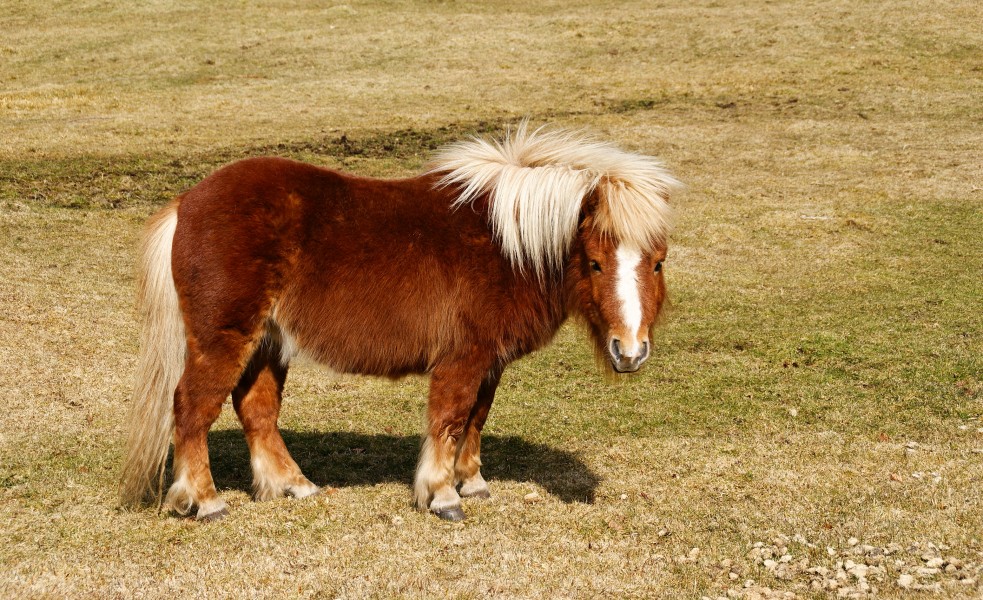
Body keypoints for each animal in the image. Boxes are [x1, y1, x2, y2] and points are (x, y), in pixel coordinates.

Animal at [119, 123, 681, 521]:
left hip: (267, 342)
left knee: (256, 410)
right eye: (595, 263)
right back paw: (206, 501)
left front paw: (472, 483)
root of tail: (186, 203)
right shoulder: (462, 359)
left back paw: (292, 486)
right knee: (192, 408)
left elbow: (476, 418)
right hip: (224, 337)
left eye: (657, 263)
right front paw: (443, 495)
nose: (630, 352)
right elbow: (449, 419)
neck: (507, 245)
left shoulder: (490, 361)